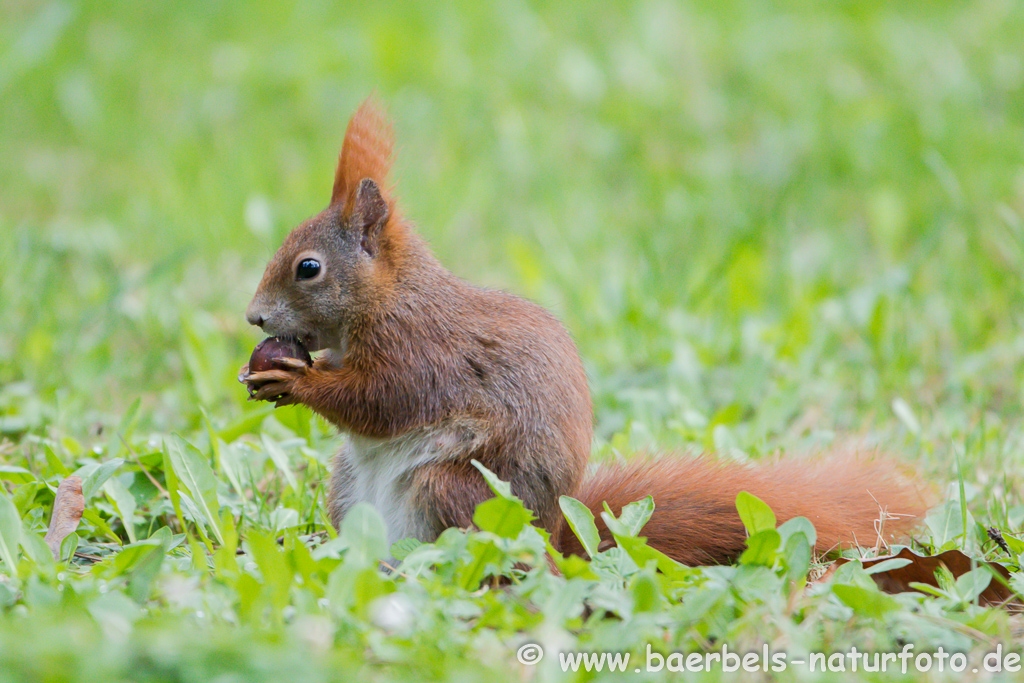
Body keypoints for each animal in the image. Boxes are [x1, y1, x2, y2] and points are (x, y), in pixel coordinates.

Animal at [237, 97, 929, 565]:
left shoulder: (421, 351)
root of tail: (553, 539)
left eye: (308, 268)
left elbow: (381, 401)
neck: (389, 297)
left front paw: (296, 382)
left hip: (455, 489)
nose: (255, 317)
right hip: (347, 487)